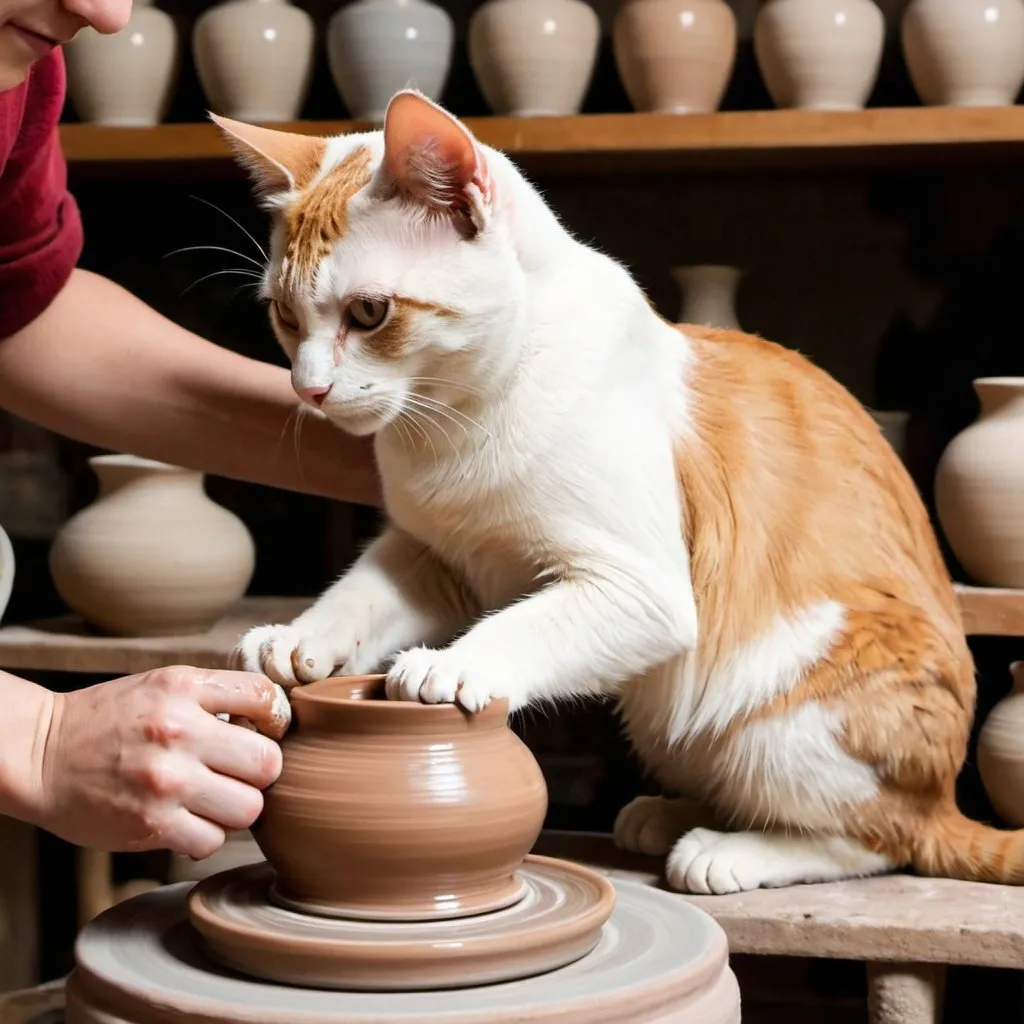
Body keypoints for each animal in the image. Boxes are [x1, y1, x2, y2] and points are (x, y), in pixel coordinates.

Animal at [218, 94, 1024, 897]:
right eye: (285, 317)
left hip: (783, 709)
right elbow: (357, 598)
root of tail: (946, 799)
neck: (452, 428)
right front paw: (298, 640)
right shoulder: (434, 557)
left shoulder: (640, 591)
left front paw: (452, 665)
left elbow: (521, 626)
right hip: (671, 724)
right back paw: (665, 815)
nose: (309, 390)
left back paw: (727, 850)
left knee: (874, 837)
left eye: (369, 313)